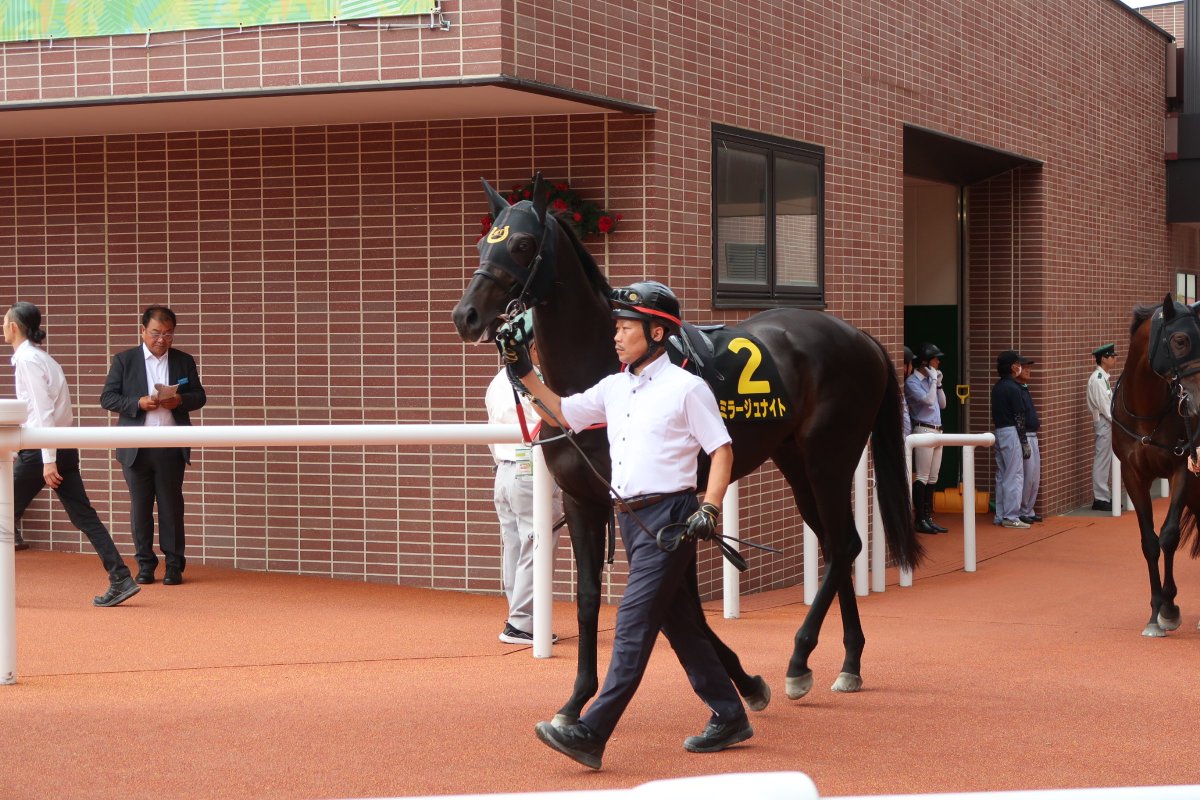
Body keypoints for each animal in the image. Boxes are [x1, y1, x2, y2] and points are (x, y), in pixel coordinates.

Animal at [452, 174, 923, 725]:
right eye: (483, 243)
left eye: (524, 244)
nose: (466, 315)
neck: (604, 372)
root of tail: (860, 336)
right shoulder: (583, 499)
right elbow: (590, 599)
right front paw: (575, 701)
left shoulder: (662, 507)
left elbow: (683, 604)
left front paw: (745, 681)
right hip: (795, 461)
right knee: (835, 544)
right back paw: (849, 661)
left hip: (829, 457)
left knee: (845, 543)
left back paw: (799, 660)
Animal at [1112, 294, 1200, 637]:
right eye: (1180, 339)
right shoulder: (1133, 474)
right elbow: (1150, 541)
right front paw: (1156, 612)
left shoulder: (1182, 469)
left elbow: (1169, 535)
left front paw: (1170, 607)